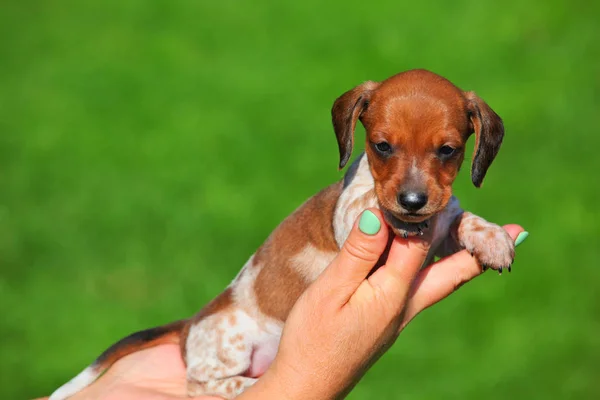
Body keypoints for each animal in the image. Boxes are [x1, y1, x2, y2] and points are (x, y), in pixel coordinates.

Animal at [49, 70, 512, 398]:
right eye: (382, 146)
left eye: (448, 150)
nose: (413, 202)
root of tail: (188, 326)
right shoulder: (351, 215)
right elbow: (369, 204)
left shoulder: (444, 223)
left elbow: (461, 218)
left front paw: (491, 238)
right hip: (230, 344)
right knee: (199, 384)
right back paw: (245, 386)